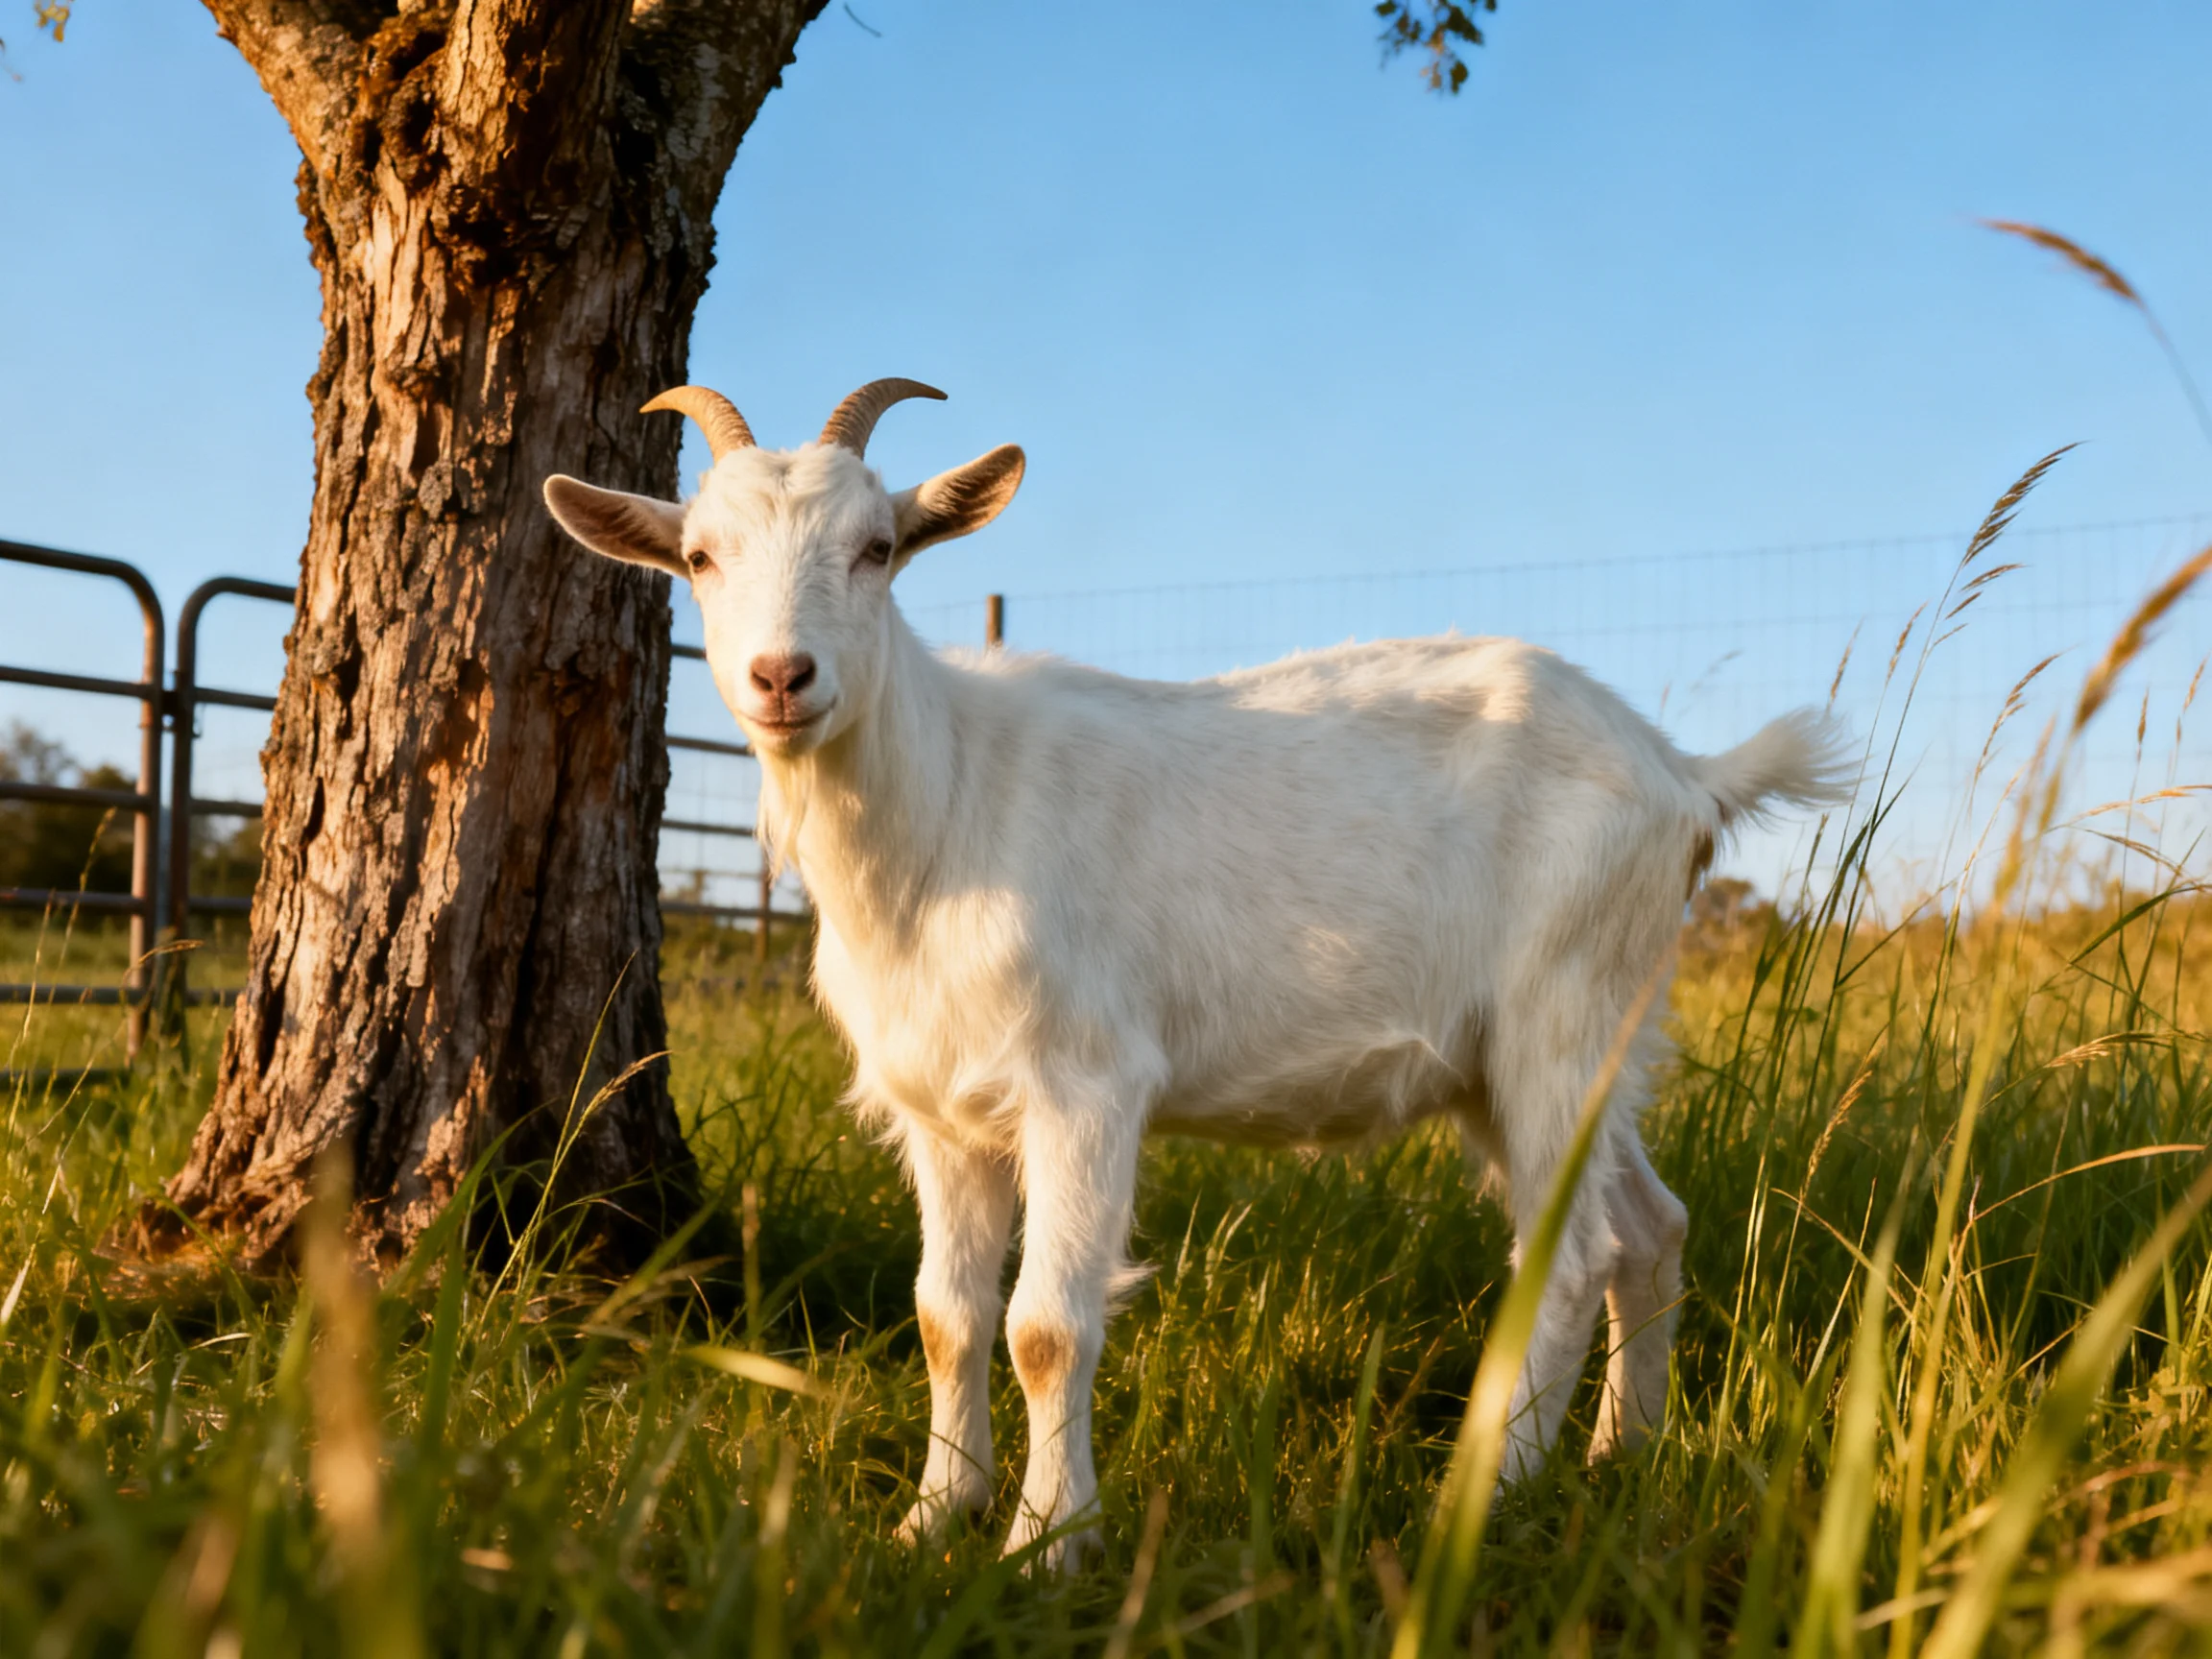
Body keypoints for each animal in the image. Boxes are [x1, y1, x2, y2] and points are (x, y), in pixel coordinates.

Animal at [545, 379, 1850, 1571]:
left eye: (877, 549)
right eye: (700, 557)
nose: (783, 678)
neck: (949, 804)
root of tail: (1684, 776)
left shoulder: (1087, 1083)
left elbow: (1045, 1328)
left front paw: (1048, 1542)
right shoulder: (942, 1111)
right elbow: (946, 1317)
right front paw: (933, 1519)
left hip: (1558, 1015)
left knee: (1571, 1257)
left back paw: (1488, 1493)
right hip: (1546, 1046)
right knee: (1649, 1226)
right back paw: (1625, 1455)